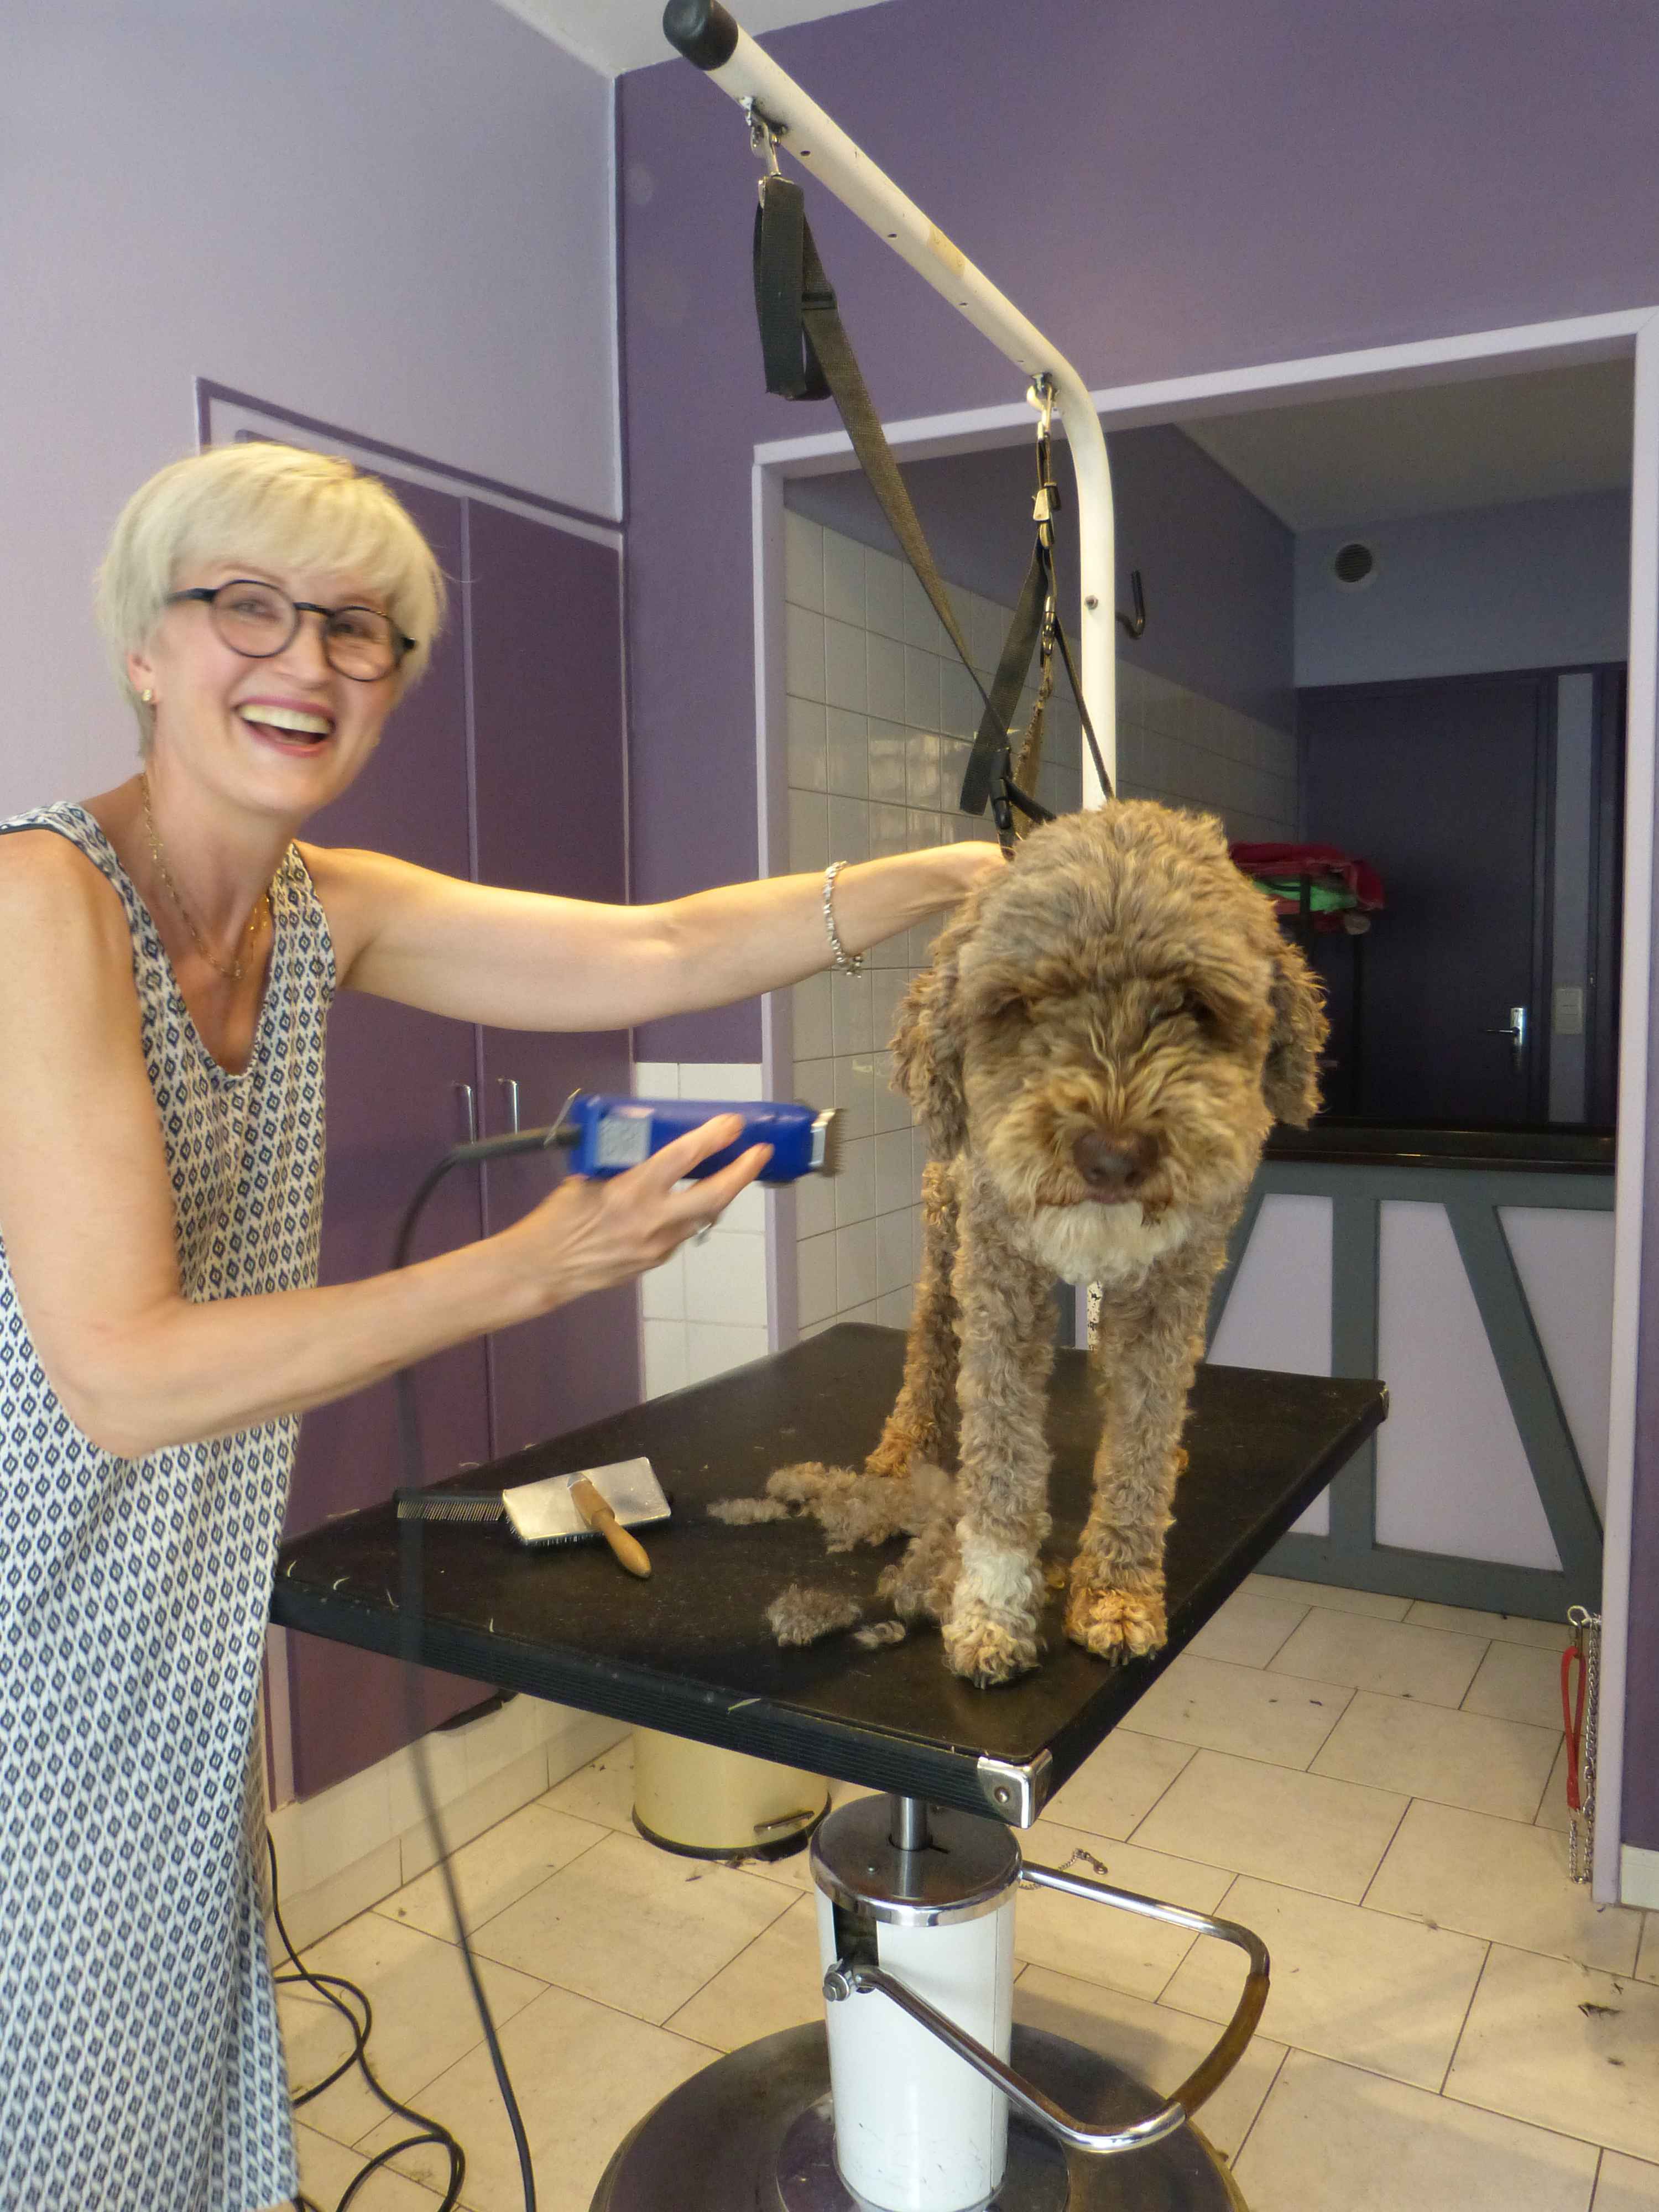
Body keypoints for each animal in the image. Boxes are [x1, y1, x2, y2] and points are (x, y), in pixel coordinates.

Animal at [774, 805, 1336, 1681]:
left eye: (1195, 1003)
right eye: (1021, 1003)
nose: (1113, 1155)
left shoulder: (1171, 1286)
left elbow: (1141, 1440)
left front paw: (1118, 1590)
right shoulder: (998, 1276)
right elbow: (1001, 1450)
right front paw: (991, 1611)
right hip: (944, 1229)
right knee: (928, 1341)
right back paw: (904, 1447)